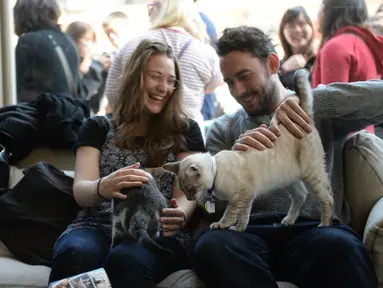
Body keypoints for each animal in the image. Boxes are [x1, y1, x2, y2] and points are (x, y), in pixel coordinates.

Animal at [164, 69, 334, 232]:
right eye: (183, 190)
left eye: (192, 189)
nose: (189, 199)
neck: (216, 172)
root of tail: (304, 115)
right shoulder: (246, 198)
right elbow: (244, 217)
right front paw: (239, 229)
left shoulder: (240, 195)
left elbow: (230, 214)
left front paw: (222, 225)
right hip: (288, 179)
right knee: (301, 195)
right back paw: (288, 220)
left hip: (311, 174)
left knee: (328, 198)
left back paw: (324, 224)